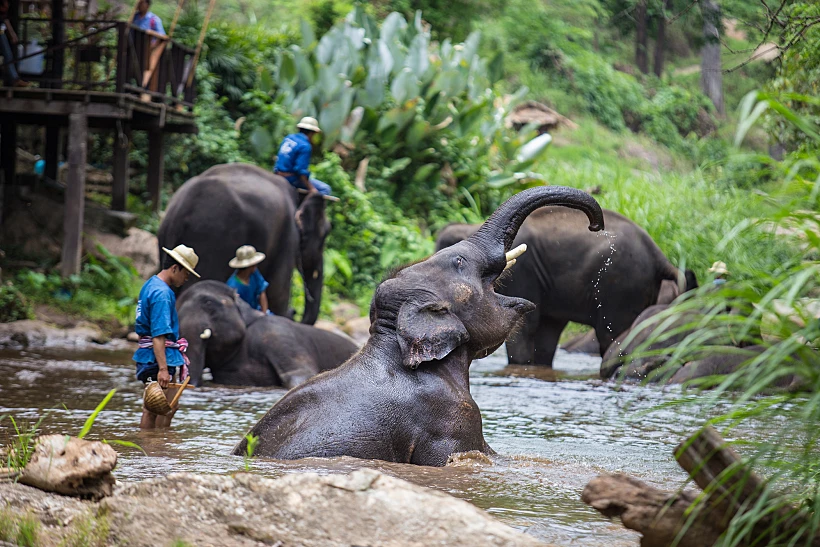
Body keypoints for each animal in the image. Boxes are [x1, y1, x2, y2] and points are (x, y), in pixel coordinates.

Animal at [158, 163, 329, 325]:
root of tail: (182, 210)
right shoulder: (287, 238)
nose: (294, 312)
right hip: (210, 240)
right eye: (325, 234)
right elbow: (277, 293)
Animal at [435, 209, 698, 366]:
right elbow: (546, 333)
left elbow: (526, 326)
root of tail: (659, 256)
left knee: (612, 336)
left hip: (622, 285)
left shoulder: (524, 270)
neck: (473, 227)